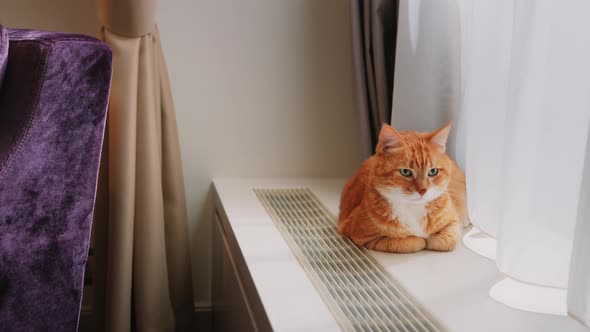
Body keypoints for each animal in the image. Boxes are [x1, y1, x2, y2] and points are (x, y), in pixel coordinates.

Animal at [340, 124, 470, 254]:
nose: (423, 190)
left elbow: (446, 240)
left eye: (433, 171)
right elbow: (410, 242)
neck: (413, 208)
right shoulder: (362, 237)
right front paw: (421, 240)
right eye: (405, 172)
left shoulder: (453, 220)